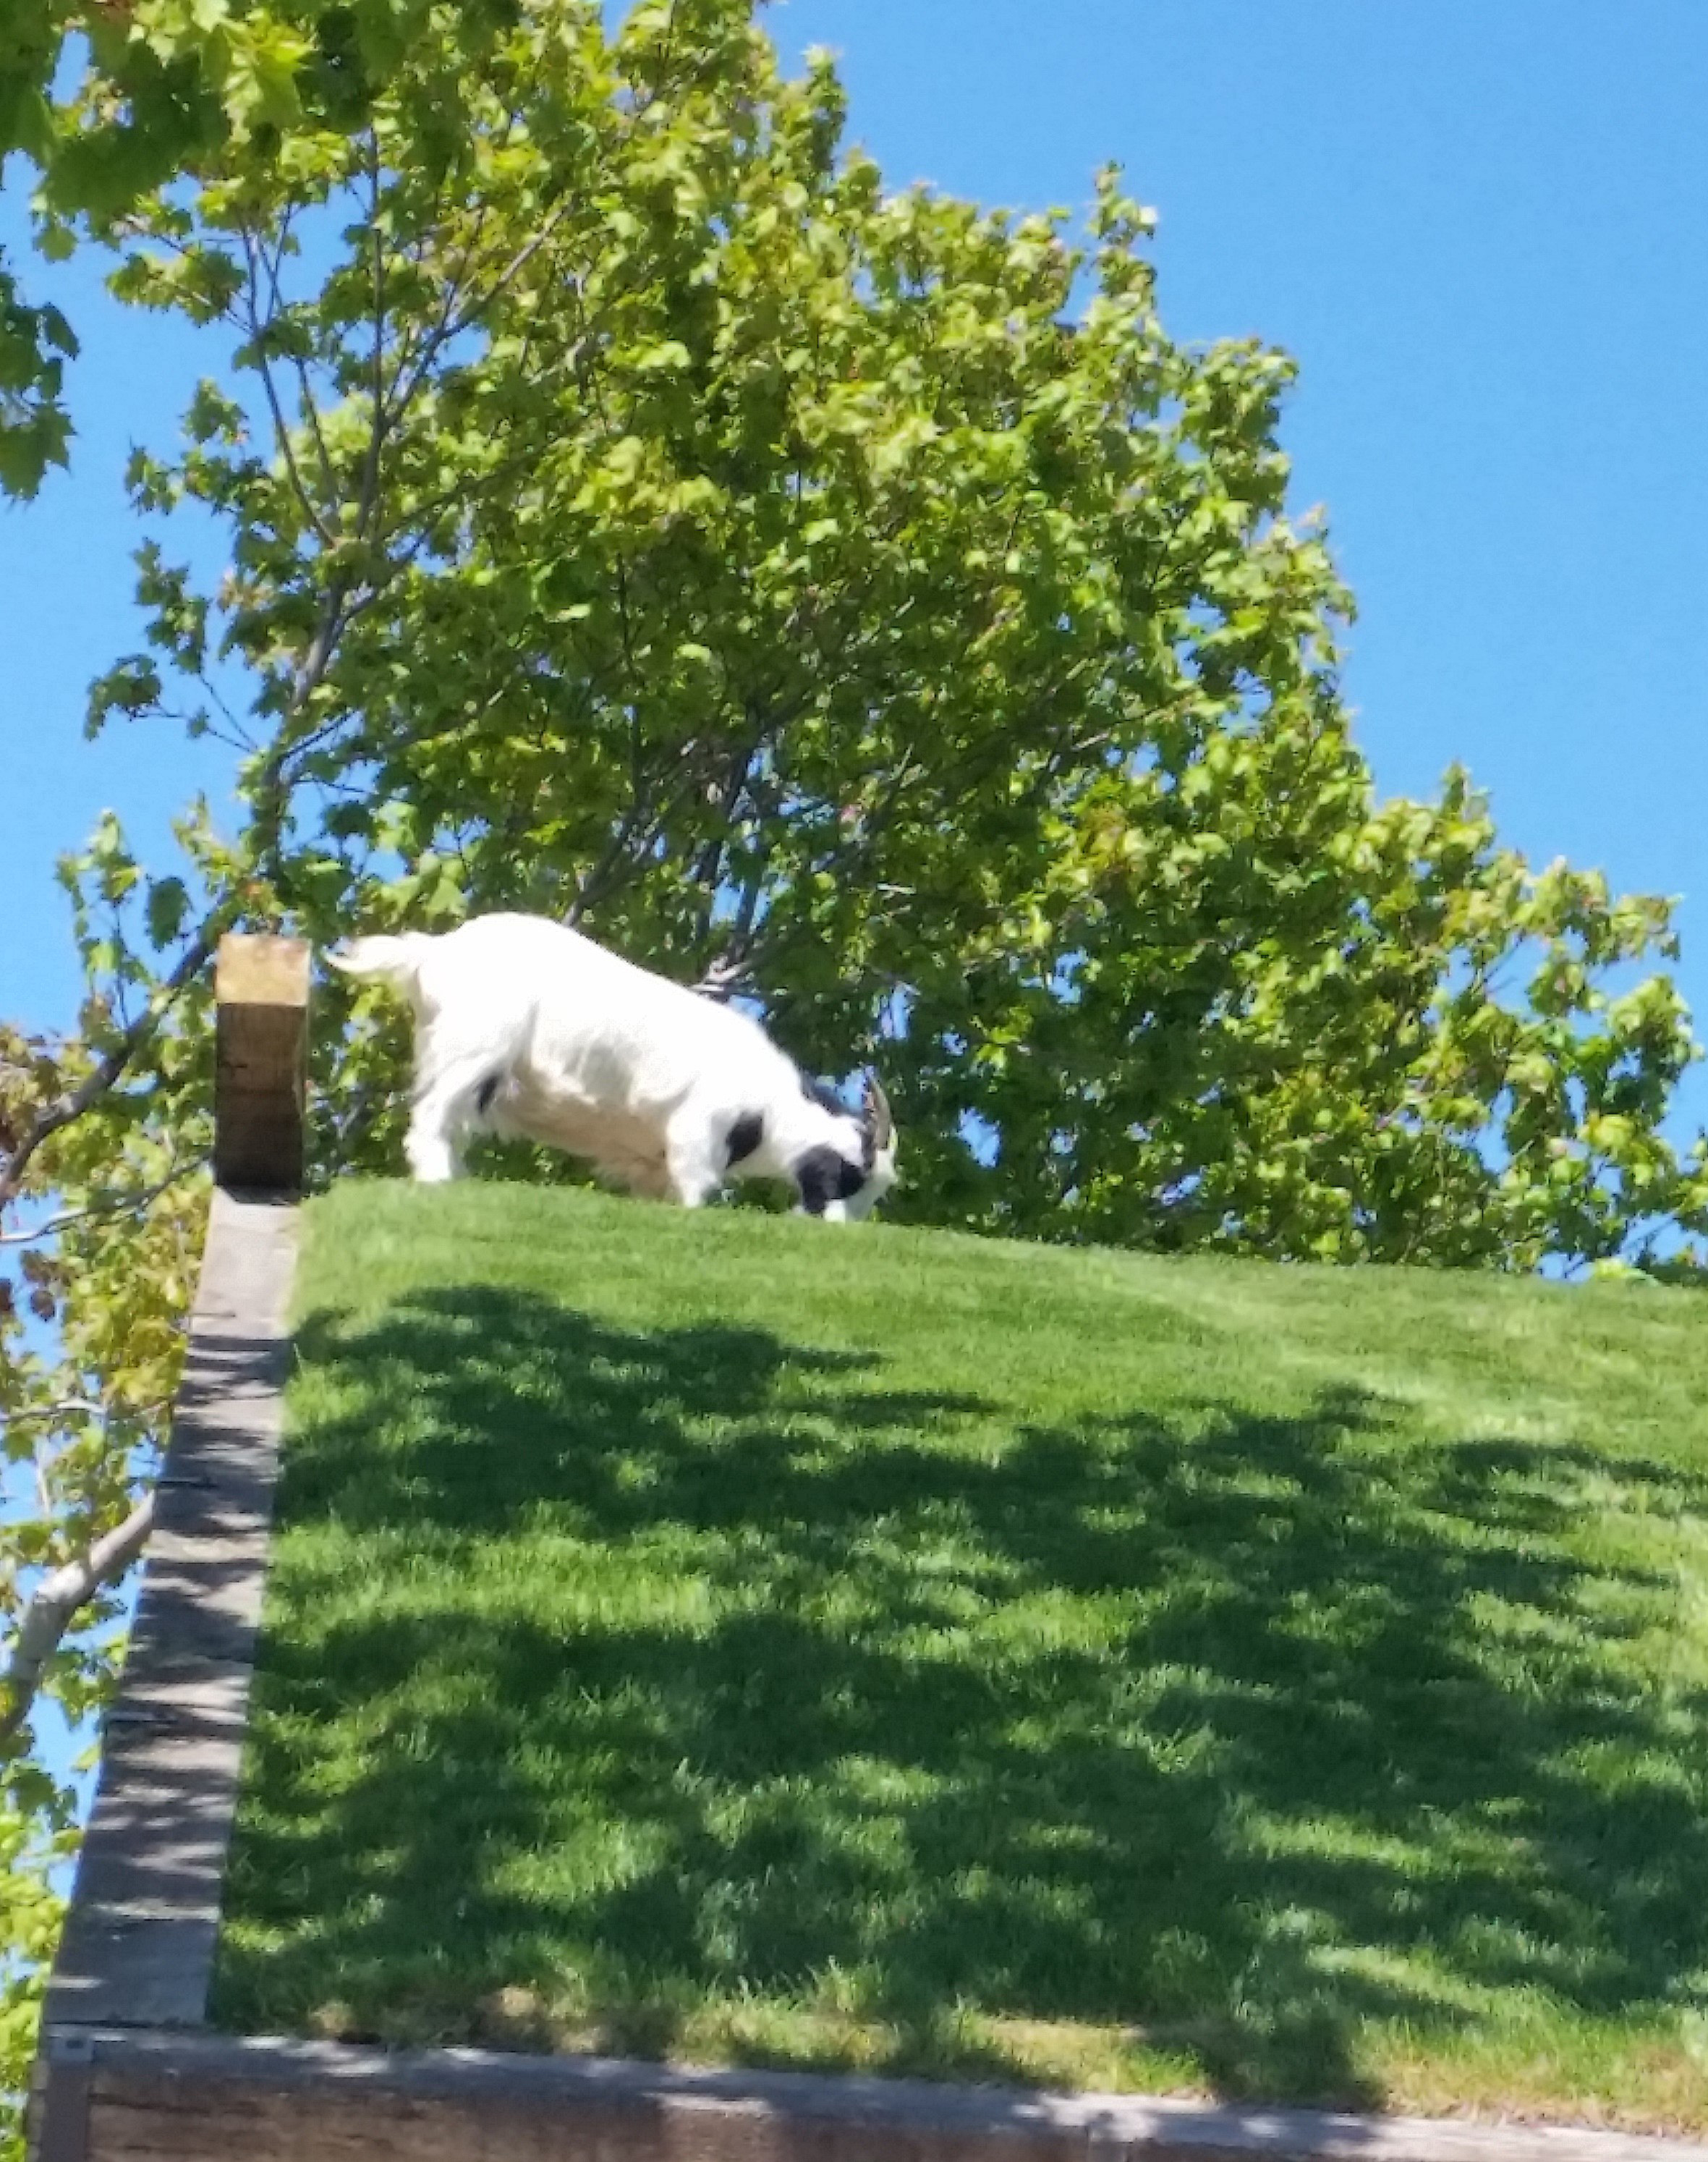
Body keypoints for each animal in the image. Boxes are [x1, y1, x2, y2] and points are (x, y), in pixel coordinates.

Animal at [326, 907, 904, 1219]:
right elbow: (697, 1192)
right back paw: (437, 1181)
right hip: (475, 1047)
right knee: (431, 1116)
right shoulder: (698, 1133)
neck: (770, 1107)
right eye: (851, 1175)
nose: (836, 1227)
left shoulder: (650, 1165)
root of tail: (434, 951)